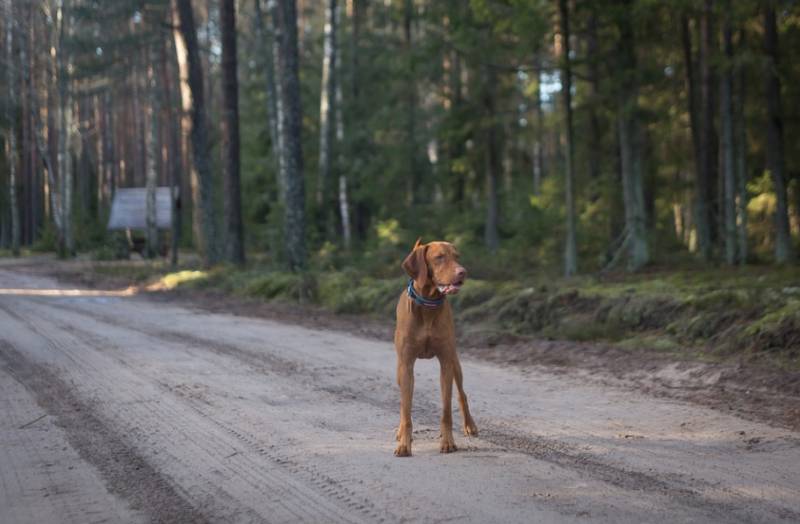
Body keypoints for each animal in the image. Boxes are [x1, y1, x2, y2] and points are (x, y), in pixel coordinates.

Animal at [392, 239, 476, 456]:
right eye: (439, 257)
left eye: (457, 256)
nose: (463, 272)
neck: (428, 306)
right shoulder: (406, 365)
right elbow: (406, 410)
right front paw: (404, 444)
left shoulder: (446, 362)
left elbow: (447, 410)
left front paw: (448, 442)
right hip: (399, 370)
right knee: (403, 404)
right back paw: (400, 430)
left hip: (455, 363)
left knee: (462, 394)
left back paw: (470, 425)